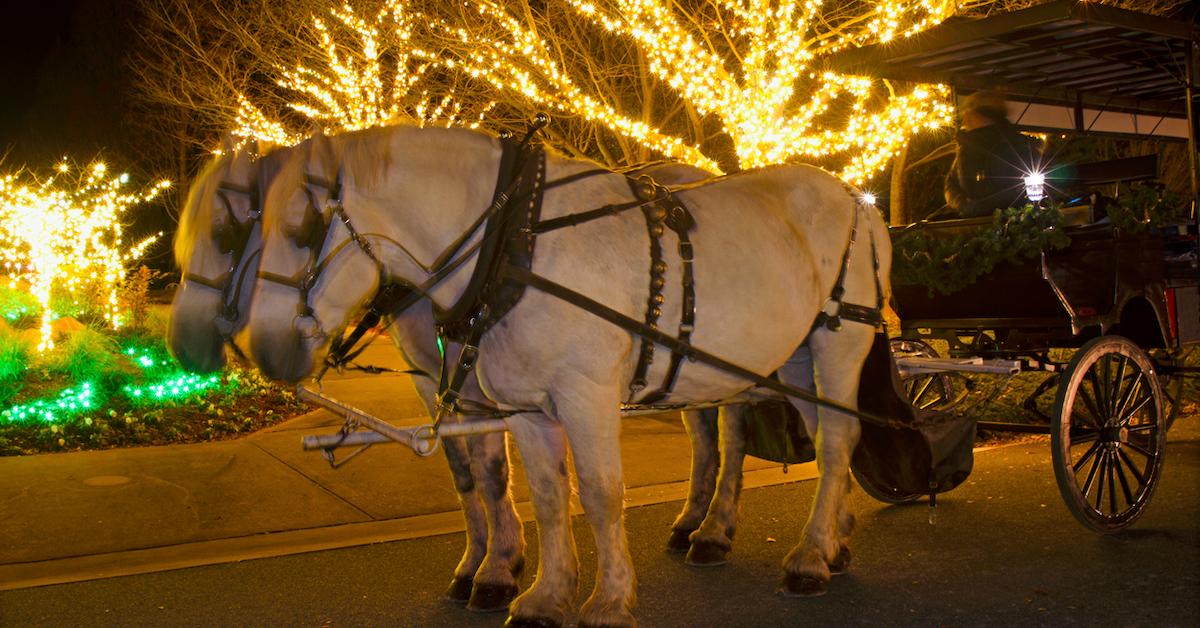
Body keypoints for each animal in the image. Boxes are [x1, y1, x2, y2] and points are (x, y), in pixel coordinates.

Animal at [168, 139, 525, 612]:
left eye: (225, 232)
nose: (182, 344)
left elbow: (492, 468)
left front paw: (500, 571)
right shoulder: (434, 376)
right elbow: (461, 465)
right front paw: (480, 563)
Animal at [246, 125, 892, 624]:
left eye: (303, 230)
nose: (261, 348)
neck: (513, 244)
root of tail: (858, 198)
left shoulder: (586, 395)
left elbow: (602, 495)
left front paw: (608, 601)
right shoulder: (524, 408)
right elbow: (548, 495)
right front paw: (543, 596)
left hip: (839, 341)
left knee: (834, 440)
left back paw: (806, 558)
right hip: (792, 357)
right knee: (829, 437)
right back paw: (833, 540)